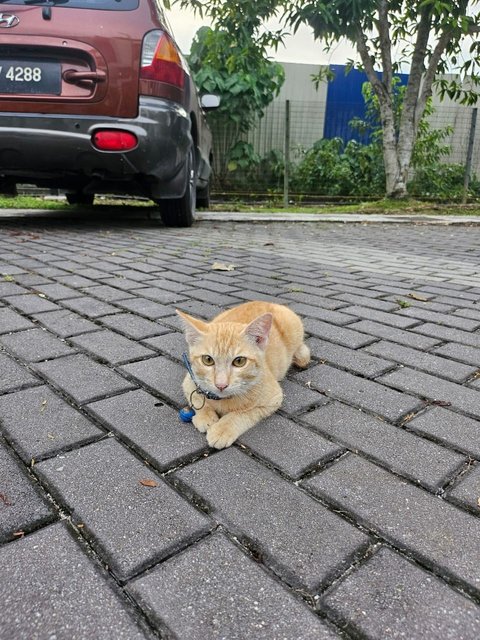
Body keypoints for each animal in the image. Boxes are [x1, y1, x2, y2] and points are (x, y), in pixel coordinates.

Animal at [178, 302, 310, 448]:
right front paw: (205, 416)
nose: (221, 385)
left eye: (239, 361)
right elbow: (196, 398)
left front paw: (222, 429)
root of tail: (268, 302)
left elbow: (243, 413)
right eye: (207, 360)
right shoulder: (189, 381)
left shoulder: (273, 399)